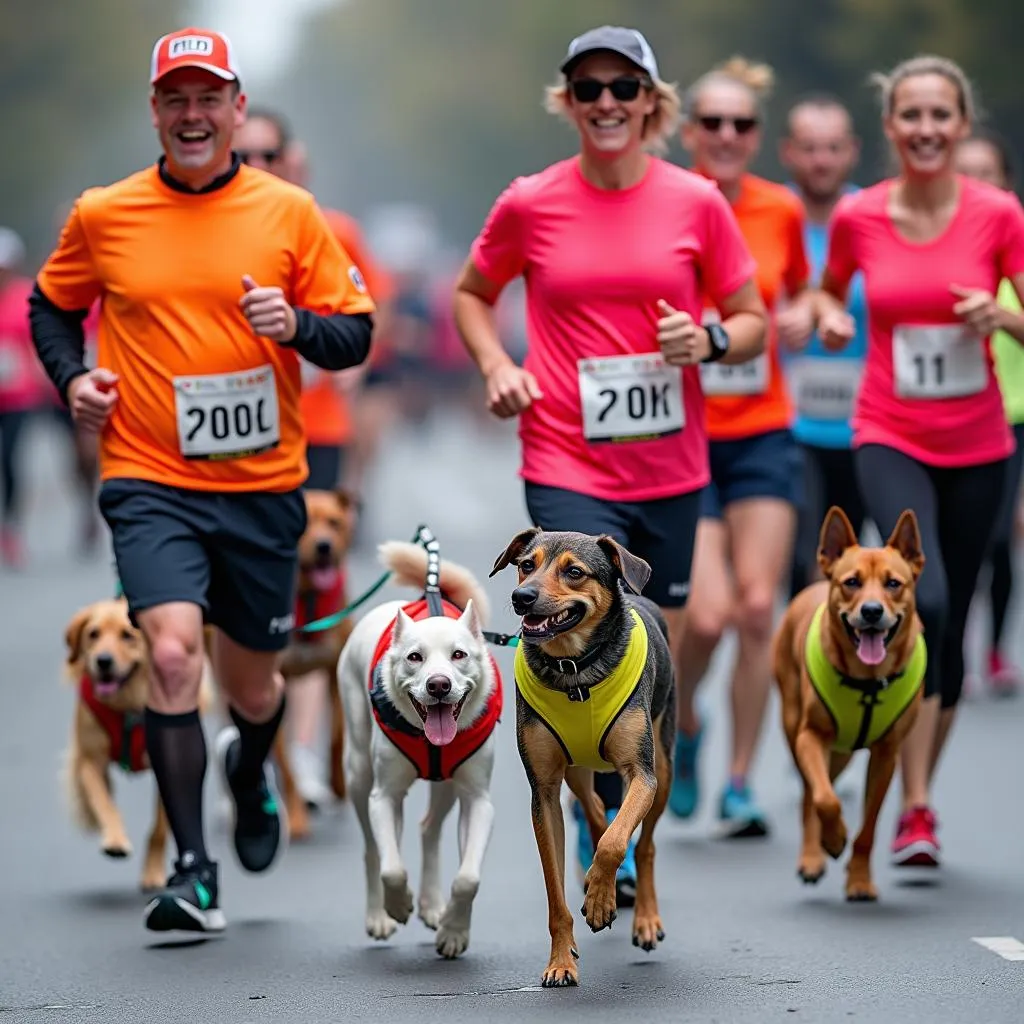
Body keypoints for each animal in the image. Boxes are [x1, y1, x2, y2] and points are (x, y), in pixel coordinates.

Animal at [64, 598, 169, 892]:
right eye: (93, 634)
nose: (103, 661)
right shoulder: (90, 761)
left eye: (127, 635)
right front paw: (115, 841)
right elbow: (104, 803)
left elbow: (159, 829)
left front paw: (153, 872)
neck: (127, 706)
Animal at [337, 544, 501, 958]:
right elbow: (391, 867)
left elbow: (468, 878)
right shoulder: (384, 795)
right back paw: (380, 915)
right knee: (373, 848)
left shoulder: (478, 799)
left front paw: (454, 931)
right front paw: (397, 906)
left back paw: (431, 905)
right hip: (359, 773)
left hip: (447, 782)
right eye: (415, 657)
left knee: (429, 828)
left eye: (459, 655)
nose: (438, 684)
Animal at [491, 524, 675, 987]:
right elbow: (555, 892)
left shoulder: (641, 774)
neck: (574, 669)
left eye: (574, 571)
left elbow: (615, 842)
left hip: (663, 767)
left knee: (644, 845)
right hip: (574, 768)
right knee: (592, 805)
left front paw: (600, 902)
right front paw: (561, 962)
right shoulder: (544, 789)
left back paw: (643, 918)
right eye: (526, 565)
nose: (523, 597)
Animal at [770, 507, 925, 901]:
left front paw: (859, 879)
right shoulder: (811, 737)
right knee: (810, 796)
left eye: (893, 584)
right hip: (797, 731)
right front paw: (834, 839)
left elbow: (868, 827)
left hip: (840, 754)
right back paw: (812, 856)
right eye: (852, 582)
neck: (867, 681)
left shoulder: (887, 755)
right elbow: (826, 799)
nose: (871, 611)